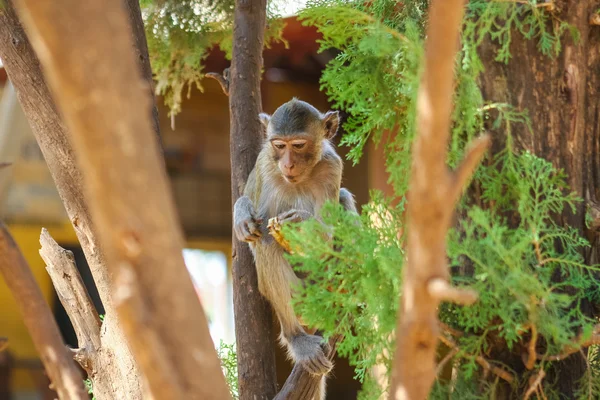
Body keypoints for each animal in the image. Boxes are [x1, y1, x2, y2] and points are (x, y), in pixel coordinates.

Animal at [233, 98, 356, 380]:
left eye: (298, 145)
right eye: (279, 145)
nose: (288, 164)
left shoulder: (332, 168)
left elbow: (325, 241)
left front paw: (299, 221)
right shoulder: (265, 163)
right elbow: (251, 208)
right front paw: (242, 213)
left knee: (343, 198)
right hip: (299, 296)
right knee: (267, 241)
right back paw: (296, 337)